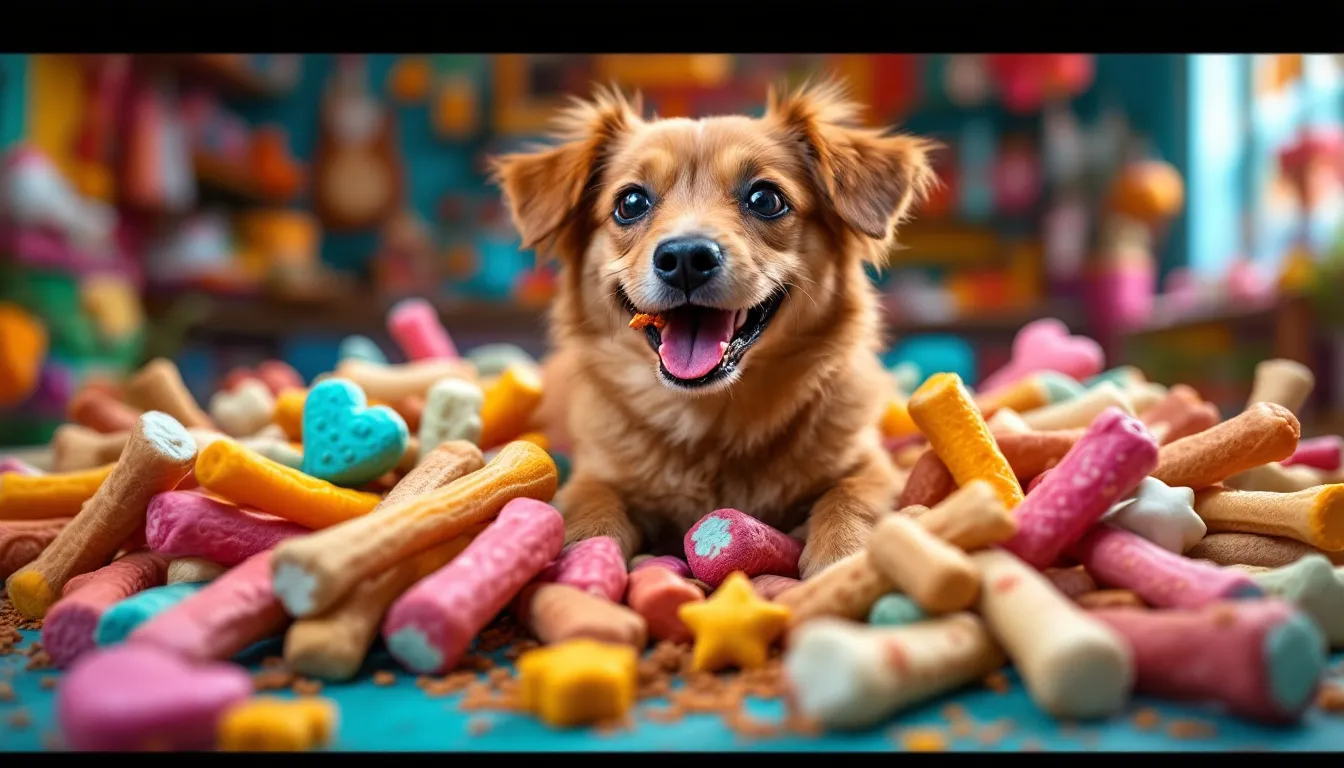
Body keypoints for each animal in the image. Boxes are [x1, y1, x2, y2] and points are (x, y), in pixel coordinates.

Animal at [491, 79, 935, 575]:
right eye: (630, 203)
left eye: (765, 199)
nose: (685, 257)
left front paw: (841, 556)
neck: (711, 421)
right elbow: (590, 509)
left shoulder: (873, 465)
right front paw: (584, 558)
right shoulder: (593, 474)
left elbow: (850, 496)